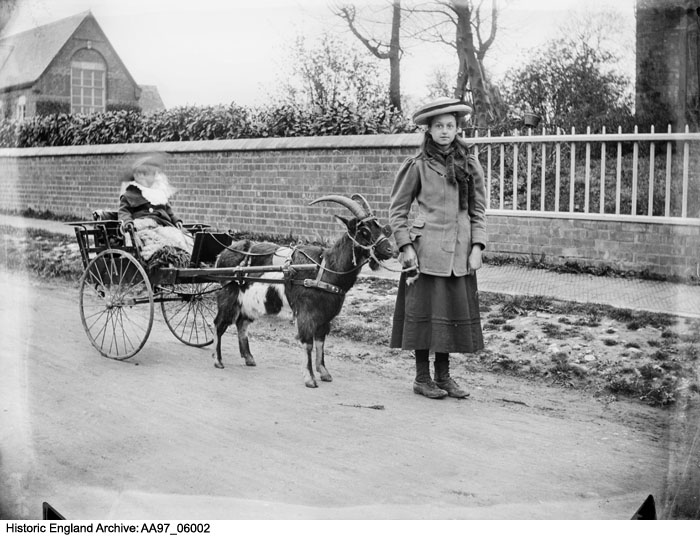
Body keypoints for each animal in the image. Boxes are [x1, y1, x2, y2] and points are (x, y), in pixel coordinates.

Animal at [211, 195, 396, 388]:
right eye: (364, 231)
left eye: (380, 227)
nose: (390, 250)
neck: (326, 267)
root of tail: (222, 255)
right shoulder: (306, 313)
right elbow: (307, 343)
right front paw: (310, 378)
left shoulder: (326, 316)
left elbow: (320, 343)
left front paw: (324, 373)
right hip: (228, 296)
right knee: (219, 324)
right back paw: (218, 360)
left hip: (251, 303)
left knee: (241, 323)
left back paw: (248, 358)